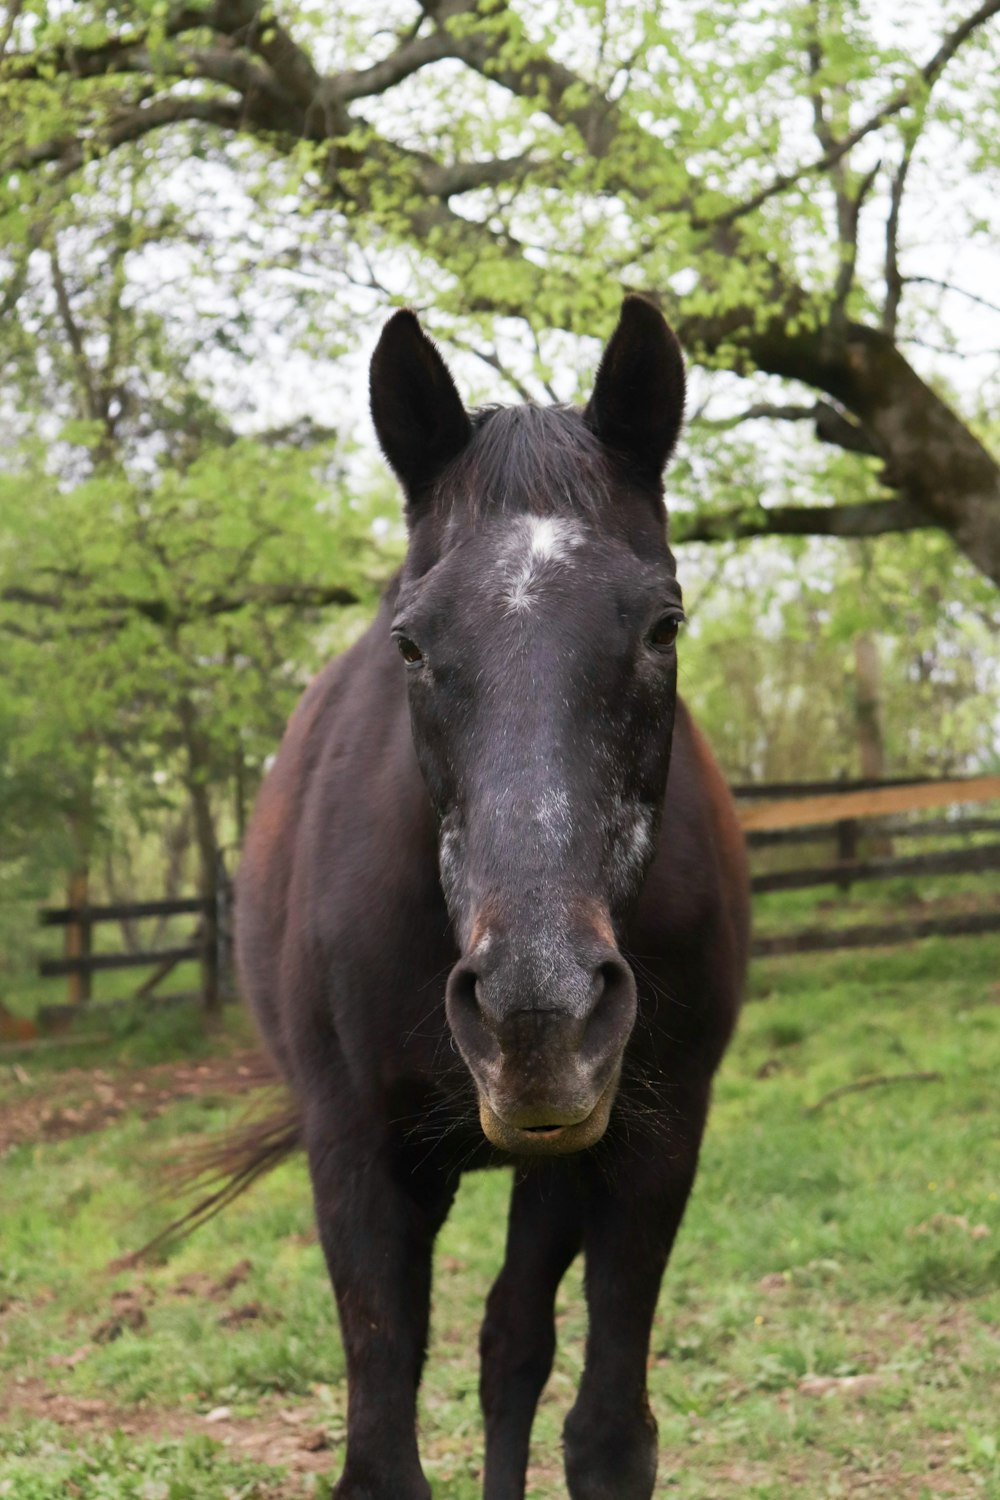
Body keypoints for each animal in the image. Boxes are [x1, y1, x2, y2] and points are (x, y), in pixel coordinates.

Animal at [236, 295, 749, 1500]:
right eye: (411, 642)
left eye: (664, 625)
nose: (537, 1010)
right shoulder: (357, 1159)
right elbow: (382, 1454)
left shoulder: (652, 1143)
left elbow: (605, 1435)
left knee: (512, 1345)